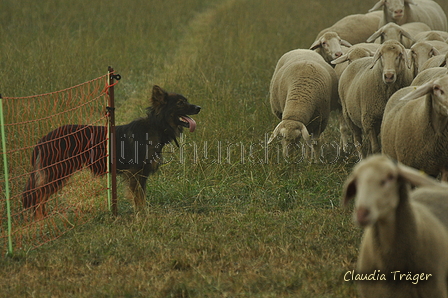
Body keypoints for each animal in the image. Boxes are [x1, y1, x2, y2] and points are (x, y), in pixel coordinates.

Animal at [22, 85, 201, 218]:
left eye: (185, 101)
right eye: (180, 103)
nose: (199, 107)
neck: (156, 125)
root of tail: (44, 138)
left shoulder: (141, 174)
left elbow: (142, 197)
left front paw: (143, 213)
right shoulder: (135, 173)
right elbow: (138, 198)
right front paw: (142, 216)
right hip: (57, 171)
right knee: (38, 196)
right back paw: (41, 220)